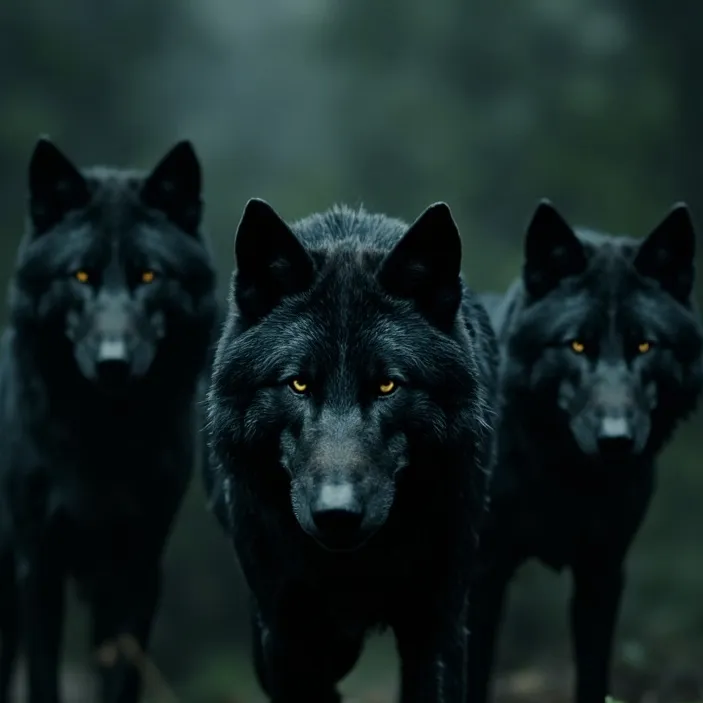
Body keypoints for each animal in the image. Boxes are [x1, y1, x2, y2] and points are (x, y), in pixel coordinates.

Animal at [0, 137, 218, 703]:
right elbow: (44, 679)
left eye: (148, 275)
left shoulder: (136, 568)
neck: (104, 438)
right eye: (81, 275)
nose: (113, 363)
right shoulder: (39, 566)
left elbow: (120, 681)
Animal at [204, 198, 499, 703]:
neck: (354, 569)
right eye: (298, 384)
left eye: (387, 386)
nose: (336, 514)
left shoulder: (437, 624)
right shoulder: (285, 633)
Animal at [466, 200, 703, 703]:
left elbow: (594, 675)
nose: (616, 440)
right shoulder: (484, 573)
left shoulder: (604, 569)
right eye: (576, 345)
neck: (569, 478)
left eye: (644, 345)